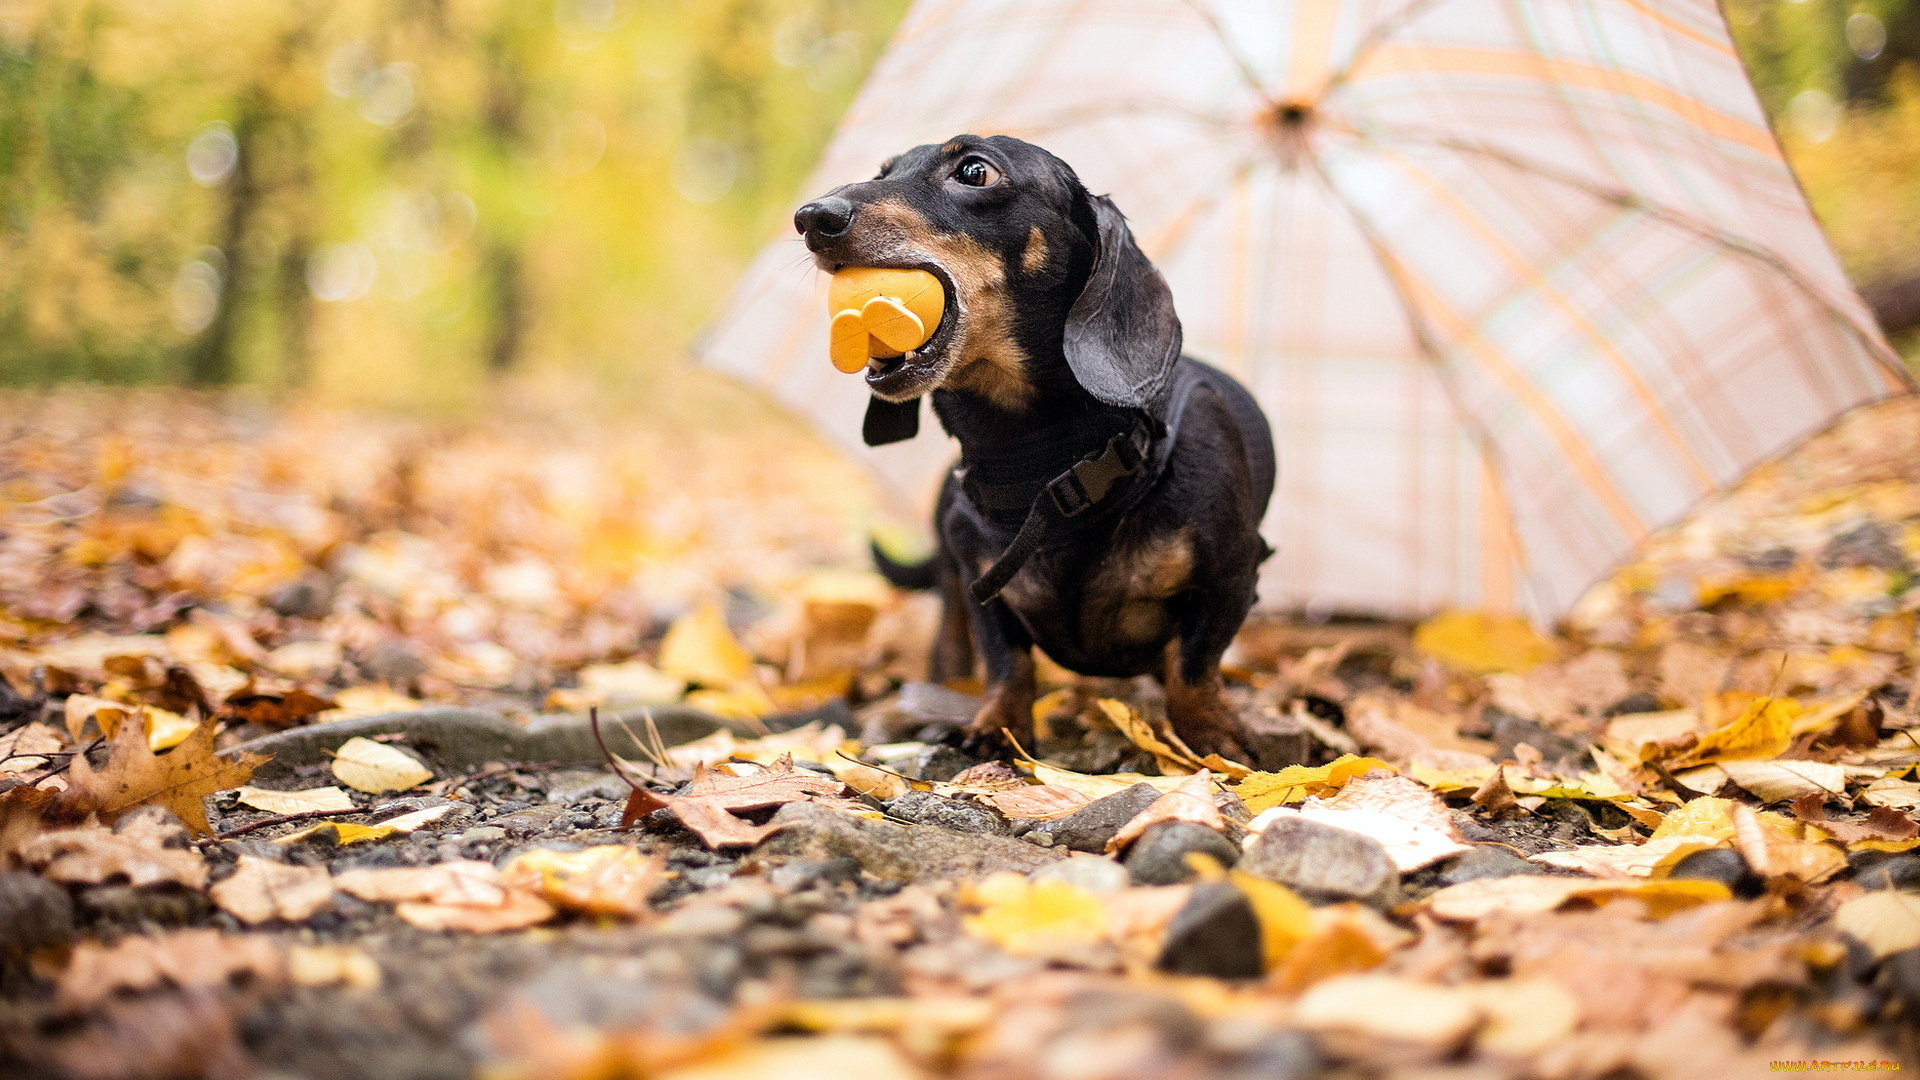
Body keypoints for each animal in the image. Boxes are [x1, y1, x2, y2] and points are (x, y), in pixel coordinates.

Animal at [794, 132, 1274, 757]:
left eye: (974, 171)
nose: (811, 217)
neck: (1043, 461)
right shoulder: (982, 582)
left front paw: (1213, 736)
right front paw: (997, 727)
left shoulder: (1233, 575)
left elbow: (1193, 665)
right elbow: (1008, 662)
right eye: (884, 171)